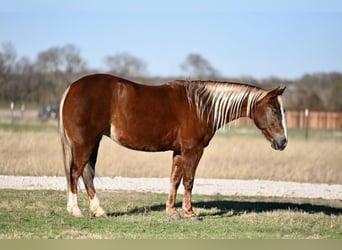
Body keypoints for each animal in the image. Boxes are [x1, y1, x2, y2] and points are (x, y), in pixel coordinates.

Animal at [59, 73, 288, 220]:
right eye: (275, 110)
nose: (283, 142)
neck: (200, 106)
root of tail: (71, 88)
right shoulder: (193, 150)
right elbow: (188, 181)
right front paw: (190, 213)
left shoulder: (179, 152)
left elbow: (174, 180)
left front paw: (173, 212)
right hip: (84, 143)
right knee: (74, 173)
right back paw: (75, 210)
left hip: (93, 142)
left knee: (86, 175)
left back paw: (99, 211)